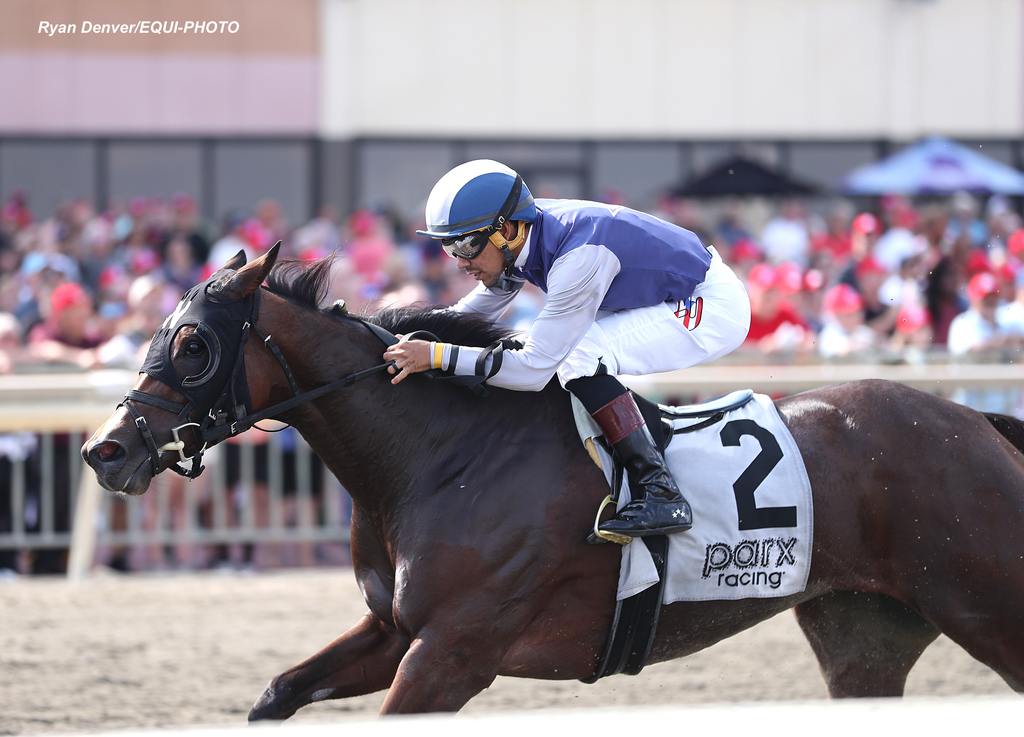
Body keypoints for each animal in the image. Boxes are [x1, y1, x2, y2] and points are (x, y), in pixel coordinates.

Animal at [81, 245, 1024, 712]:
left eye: (194, 343)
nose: (104, 449)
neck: (442, 455)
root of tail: (977, 422)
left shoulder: (452, 653)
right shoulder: (396, 631)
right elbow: (276, 694)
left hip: (984, 601)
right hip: (864, 632)